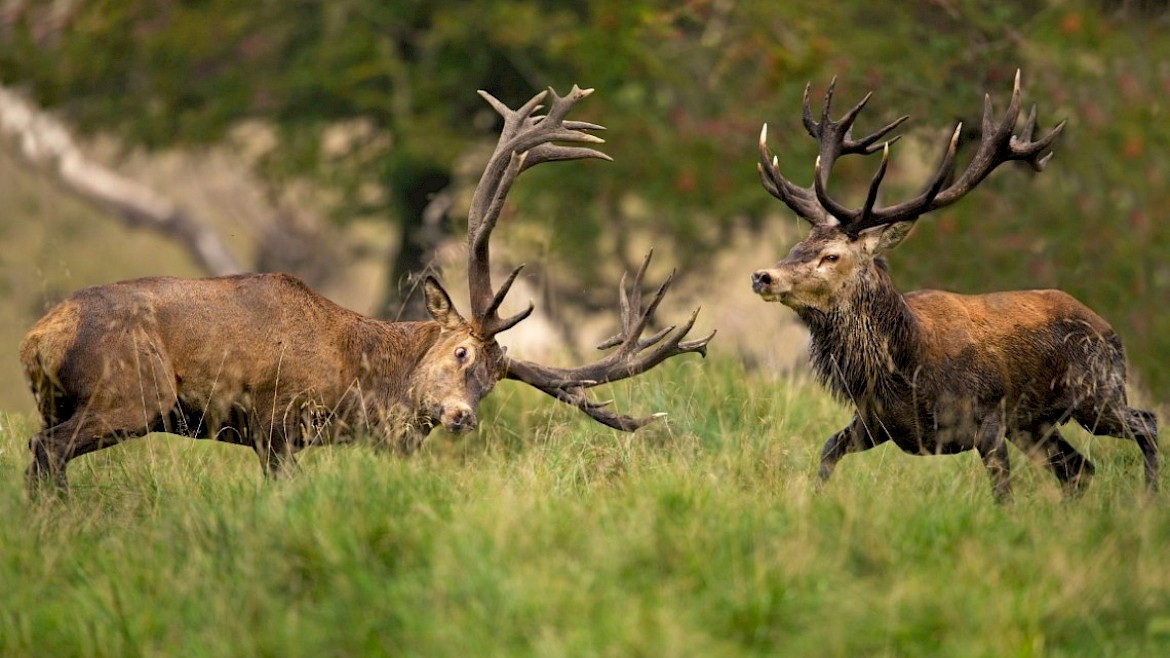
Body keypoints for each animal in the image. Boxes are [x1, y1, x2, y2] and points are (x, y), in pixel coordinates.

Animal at [20, 85, 713, 493]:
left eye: (493, 382)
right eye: (460, 351)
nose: (461, 416)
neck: (354, 375)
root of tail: (38, 337)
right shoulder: (276, 421)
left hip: (68, 400)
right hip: (132, 393)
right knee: (45, 451)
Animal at [749, 72, 1158, 501]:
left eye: (831, 256)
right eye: (798, 245)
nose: (763, 276)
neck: (906, 370)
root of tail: (1109, 331)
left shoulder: (988, 420)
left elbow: (1003, 493)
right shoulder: (876, 424)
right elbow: (828, 449)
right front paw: (812, 499)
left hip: (1096, 394)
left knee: (1146, 423)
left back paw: (1149, 498)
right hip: (1035, 425)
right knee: (1080, 469)